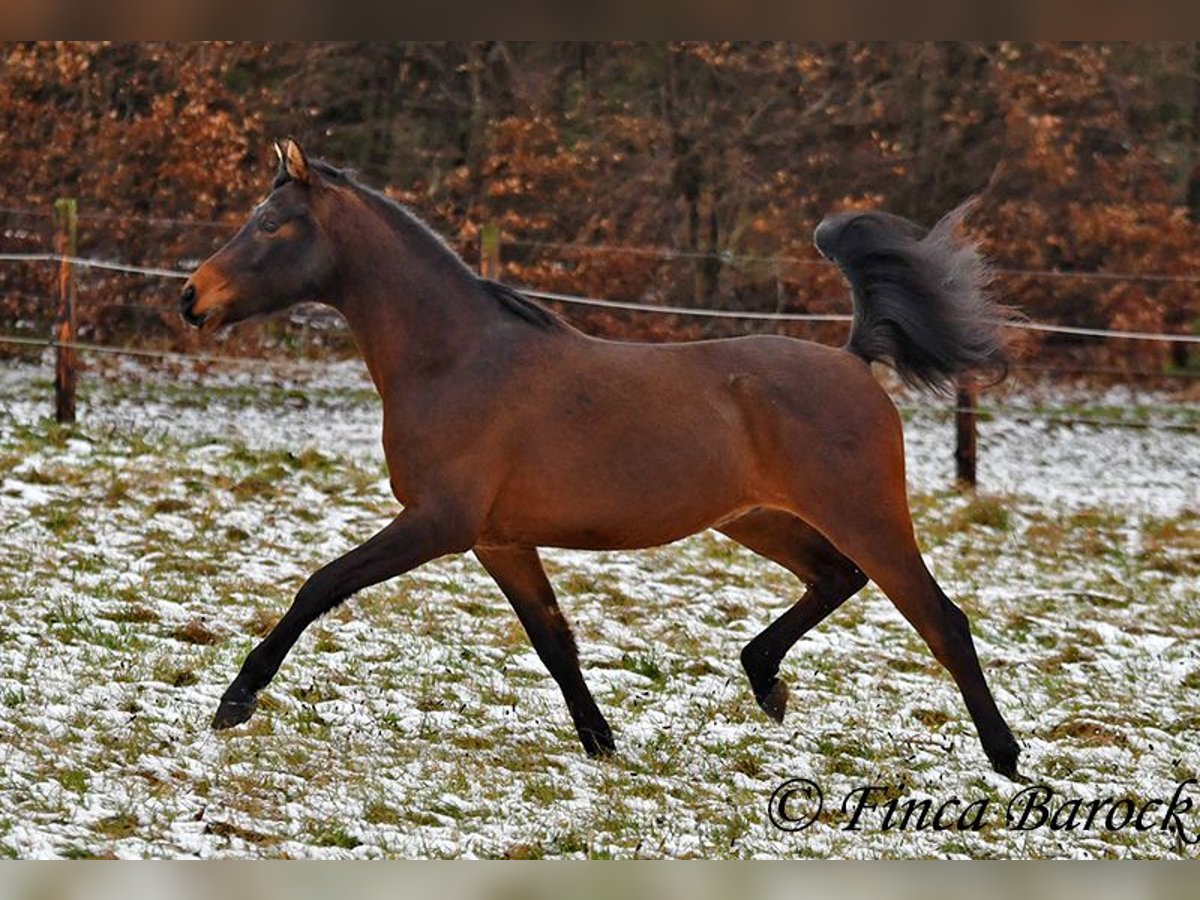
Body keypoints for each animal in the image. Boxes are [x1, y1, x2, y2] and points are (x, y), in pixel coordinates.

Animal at [180, 141, 1022, 782]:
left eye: (270, 224)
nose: (191, 298)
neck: (456, 359)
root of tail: (853, 360)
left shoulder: (436, 524)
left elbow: (320, 585)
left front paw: (235, 702)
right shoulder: (499, 540)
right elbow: (555, 643)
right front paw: (603, 745)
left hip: (864, 515)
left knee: (942, 621)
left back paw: (1006, 760)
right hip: (757, 519)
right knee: (835, 579)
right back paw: (764, 680)